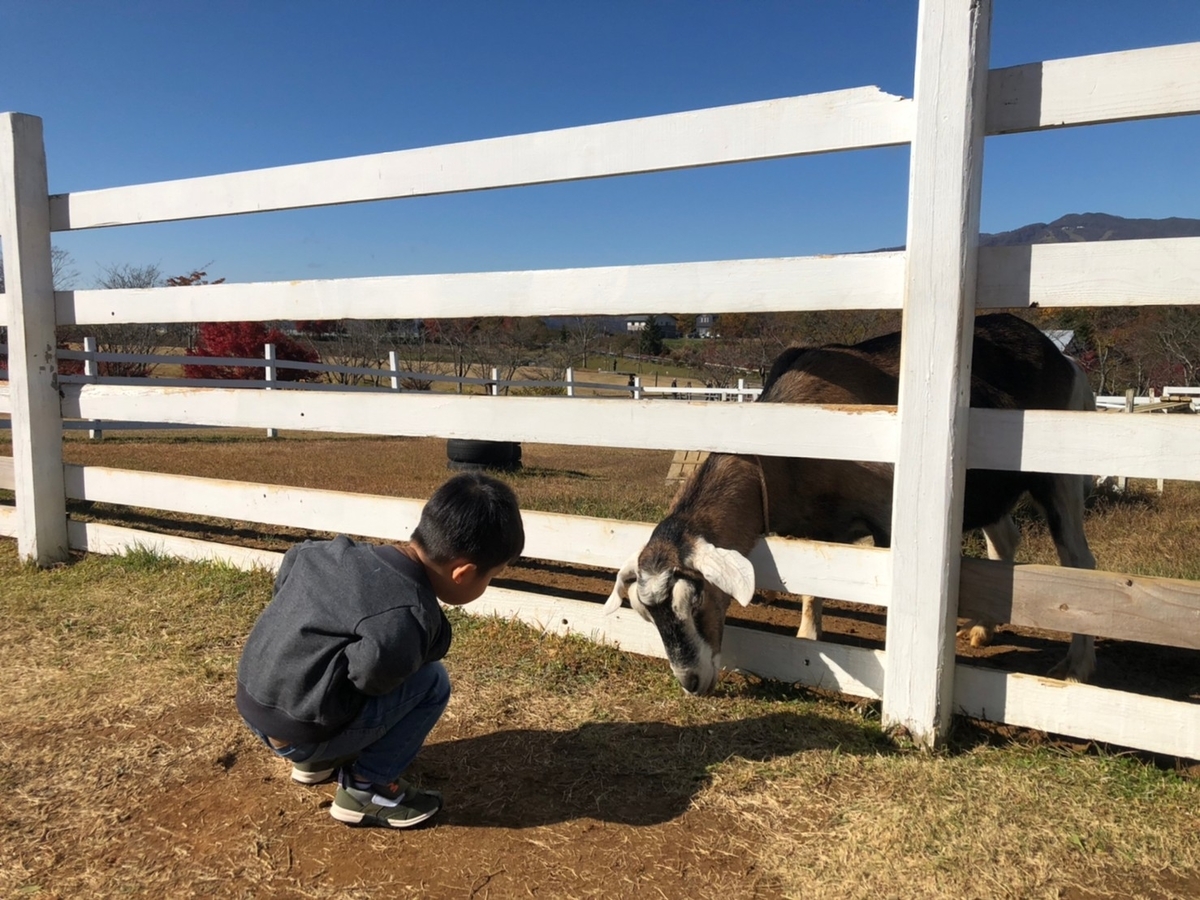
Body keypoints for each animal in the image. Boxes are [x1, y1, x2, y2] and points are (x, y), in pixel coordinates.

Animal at [609, 314, 1099, 696]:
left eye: (695, 602)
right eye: (646, 614)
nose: (691, 682)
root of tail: (1064, 361)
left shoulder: (887, 517)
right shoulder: (811, 528)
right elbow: (812, 588)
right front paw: (807, 640)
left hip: (1059, 475)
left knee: (1080, 563)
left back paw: (1076, 666)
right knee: (1006, 540)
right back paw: (982, 629)